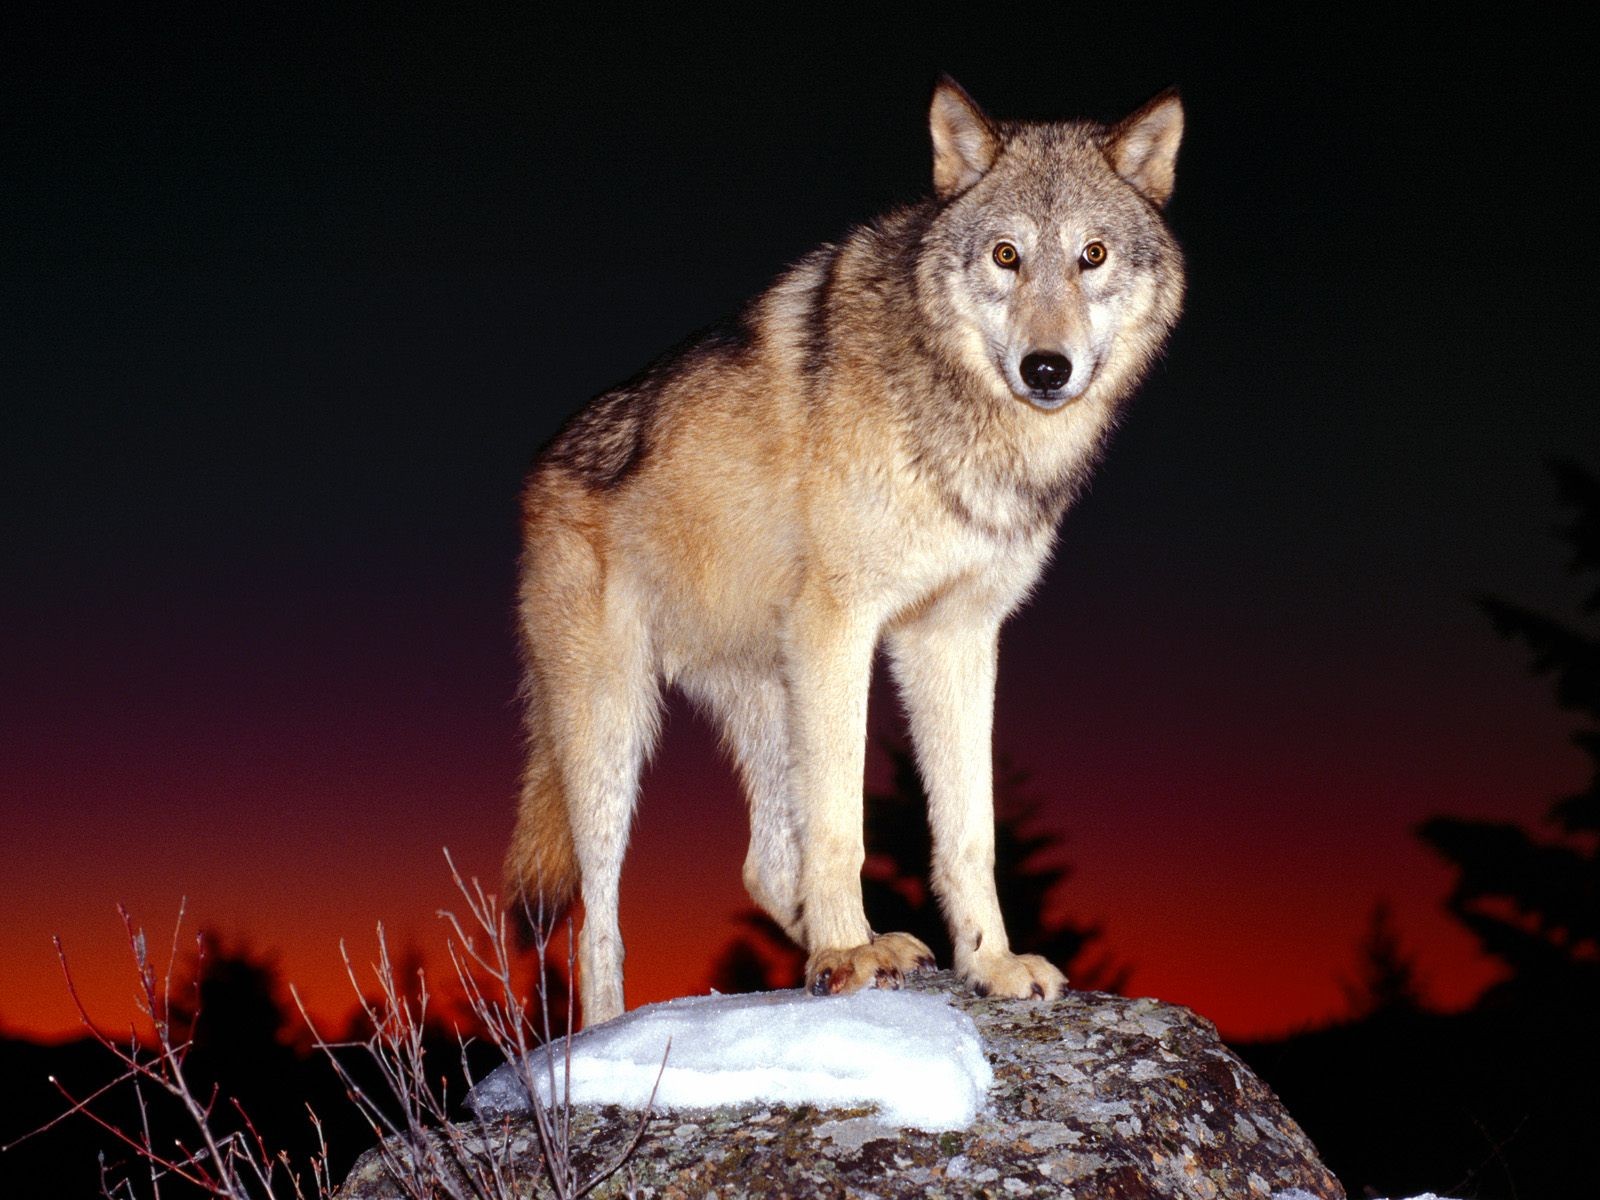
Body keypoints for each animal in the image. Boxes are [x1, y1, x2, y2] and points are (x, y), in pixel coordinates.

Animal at [507, 77, 1185, 1027]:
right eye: (1007, 256)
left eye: (1092, 255)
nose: (1046, 369)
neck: (960, 414)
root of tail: (539, 472)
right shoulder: (843, 625)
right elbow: (841, 825)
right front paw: (842, 952)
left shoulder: (955, 637)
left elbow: (968, 830)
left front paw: (989, 963)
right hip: (612, 726)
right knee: (597, 923)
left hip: (767, 693)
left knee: (761, 864)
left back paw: (874, 949)